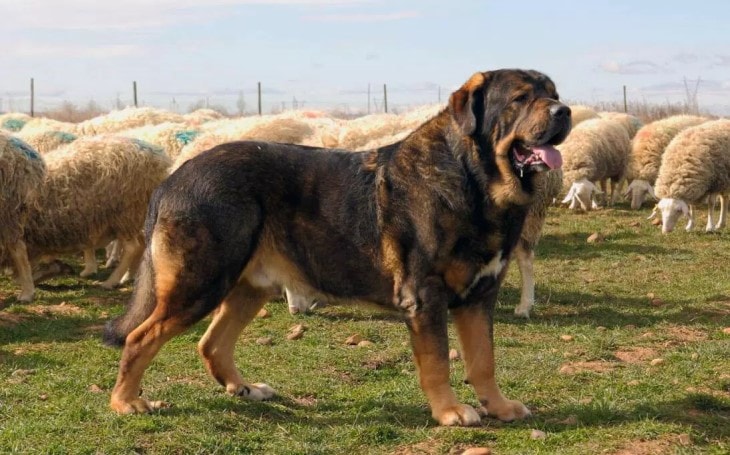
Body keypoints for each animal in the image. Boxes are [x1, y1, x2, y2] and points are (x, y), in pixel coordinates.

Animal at [6, 135, 171, 300]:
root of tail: (157, 156)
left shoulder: (13, 228)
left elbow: (20, 257)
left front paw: (27, 292)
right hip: (135, 215)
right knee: (142, 244)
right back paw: (128, 276)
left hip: (125, 212)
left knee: (132, 247)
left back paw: (111, 281)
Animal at [104, 68, 568, 428]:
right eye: (521, 99)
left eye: (554, 94)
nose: (563, 111)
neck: (475, 180)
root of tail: (173, 179)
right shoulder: (425, 297)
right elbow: (438, 361)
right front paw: (450, 411)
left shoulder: (479, 297)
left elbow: (483, 359)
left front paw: (498, 407)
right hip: (199, 283)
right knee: (142, 337)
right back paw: (126, 402)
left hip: (248, 287)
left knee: (211, 343)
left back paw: (244, 388)